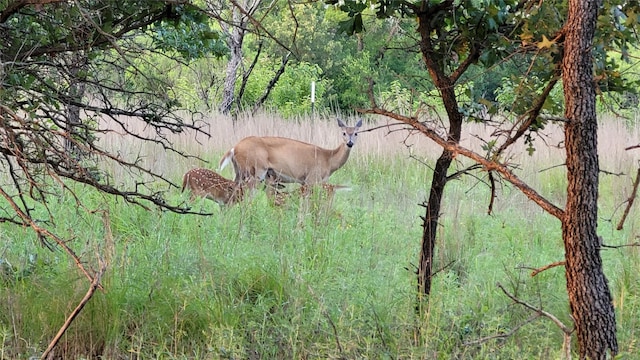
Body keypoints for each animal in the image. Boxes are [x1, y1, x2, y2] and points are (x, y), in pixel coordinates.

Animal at [219, 120, 360, 190]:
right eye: (343, 133)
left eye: (356, 133)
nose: (350, 143)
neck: (328, 159)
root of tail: (234, 148)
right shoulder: (311, 178)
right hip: (256, 169)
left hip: (239, 171)